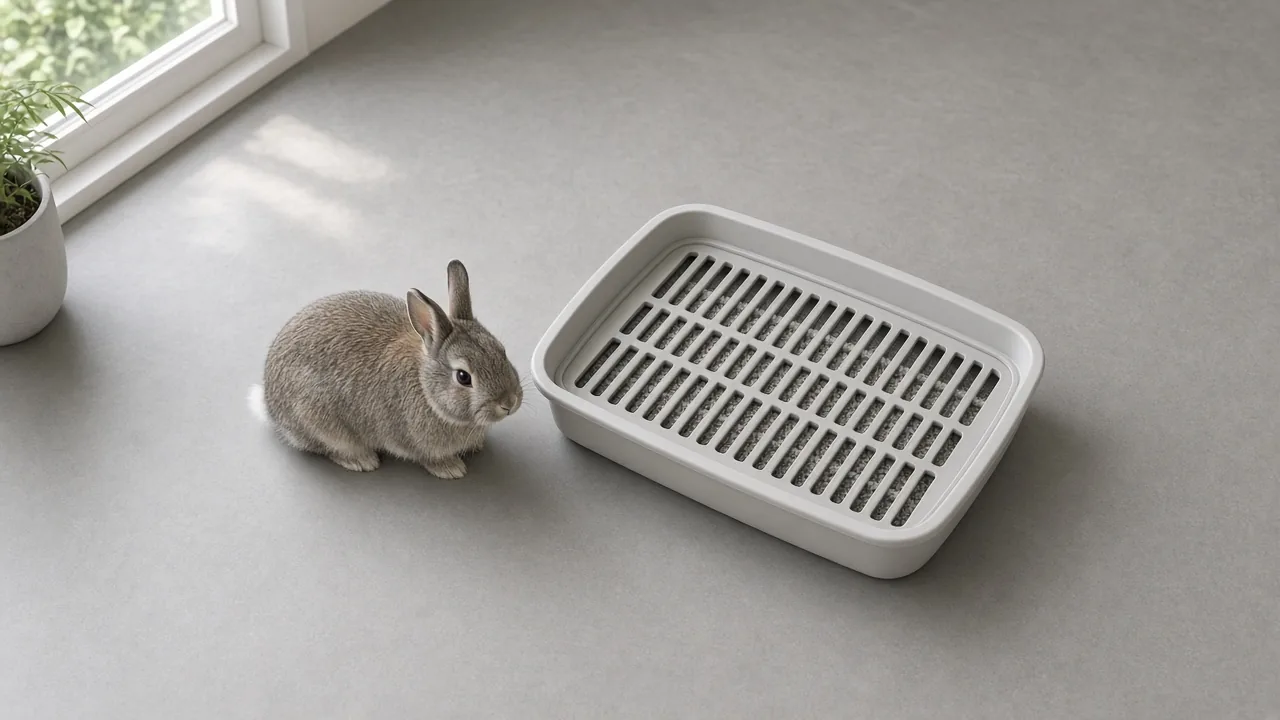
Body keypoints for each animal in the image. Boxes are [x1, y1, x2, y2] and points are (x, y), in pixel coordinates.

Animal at [249, 260, 522, 478]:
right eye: (463, 377)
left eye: (501, 351)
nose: (508, 403)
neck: (426, 388)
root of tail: (270, 405)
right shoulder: (412, 440)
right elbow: (427, 457)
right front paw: (451, 469)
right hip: (320, 423)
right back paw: (362, 461)